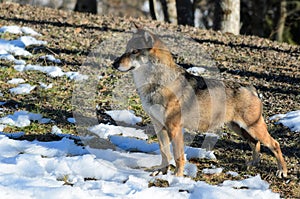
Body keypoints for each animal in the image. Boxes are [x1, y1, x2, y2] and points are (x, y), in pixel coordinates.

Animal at [111, 24, 288, 178]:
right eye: (126, 50)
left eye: (134, 51)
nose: (114, 64)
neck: (157, 83)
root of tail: (250, 87)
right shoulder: (159, 126)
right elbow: (164, 152)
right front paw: (161, 171)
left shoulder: (174, 128)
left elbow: (178, 156)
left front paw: (177, 177)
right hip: (239, 129)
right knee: (255, 144)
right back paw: (253, 164)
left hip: (252, 128)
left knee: (275, 144)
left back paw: (282, 171)